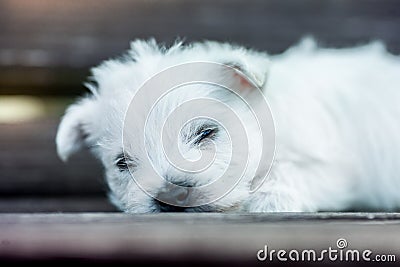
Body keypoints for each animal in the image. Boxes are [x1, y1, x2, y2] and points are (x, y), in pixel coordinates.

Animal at [55, 38, 400, 214]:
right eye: (122, 163)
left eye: (207, 132)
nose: (171, 194)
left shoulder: (333, 167)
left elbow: (294, 172)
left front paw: (270, 197)